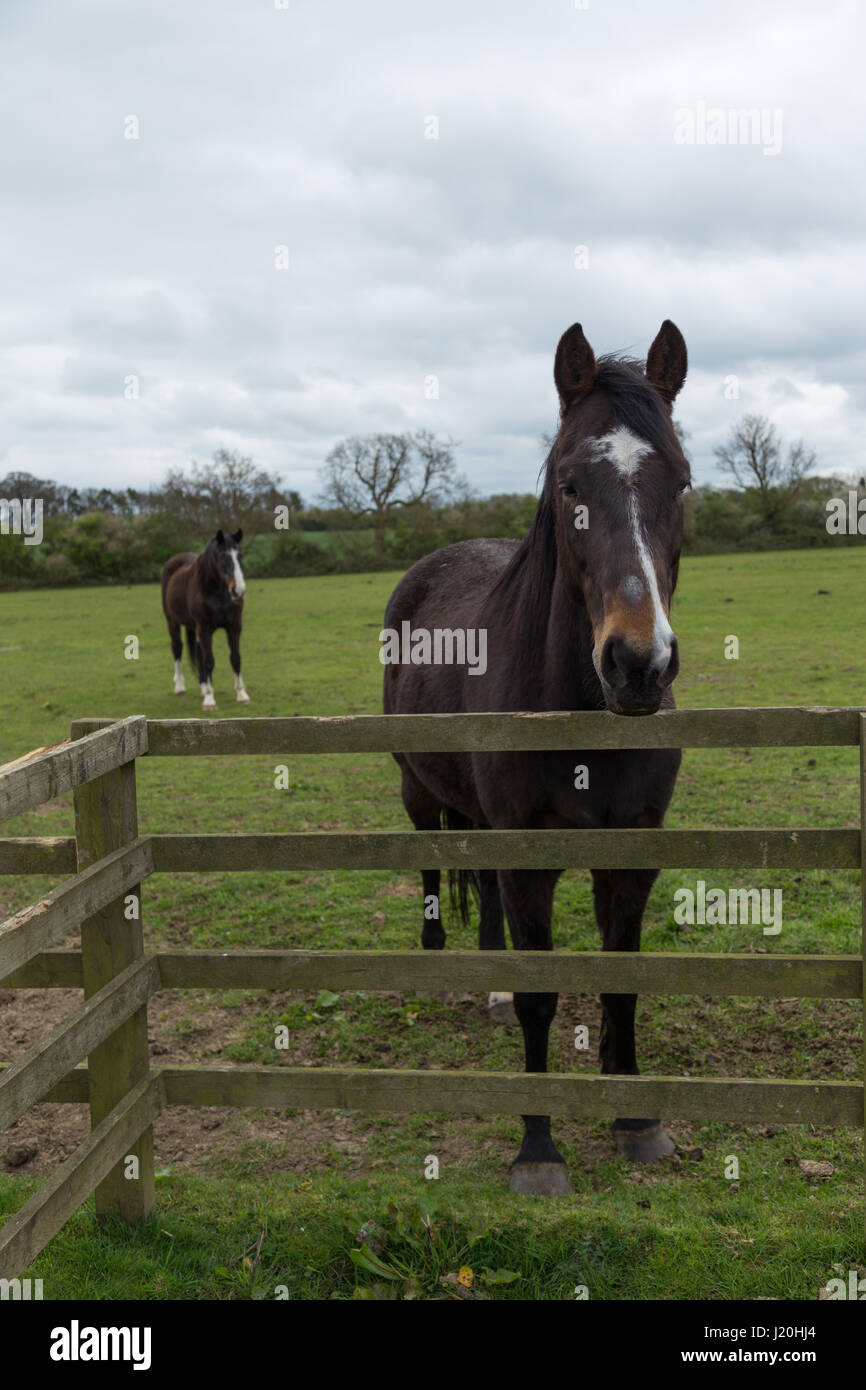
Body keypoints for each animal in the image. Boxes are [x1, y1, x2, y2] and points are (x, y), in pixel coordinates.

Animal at [161, 529, 250, 711]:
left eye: (240, 555)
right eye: (223, 556)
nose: (239, 590)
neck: (217, 592)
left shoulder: (234, 627)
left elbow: (235, 659)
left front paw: (242, 695)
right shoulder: (205, 628)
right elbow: (209, 661)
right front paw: (210, 700)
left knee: (197, 649)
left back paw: (203, 687)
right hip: (173, 622)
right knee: (177, 648)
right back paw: (180, 687)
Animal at [382, 319, 690, 1195]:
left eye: (683, 484)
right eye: (570, 486)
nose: (638, 663)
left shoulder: (632, 850)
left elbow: (621, 985)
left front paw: (636, 1120)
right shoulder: (530, 857)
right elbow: (540, 998)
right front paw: (538, 1147)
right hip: (420, 793)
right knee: (432, 866)